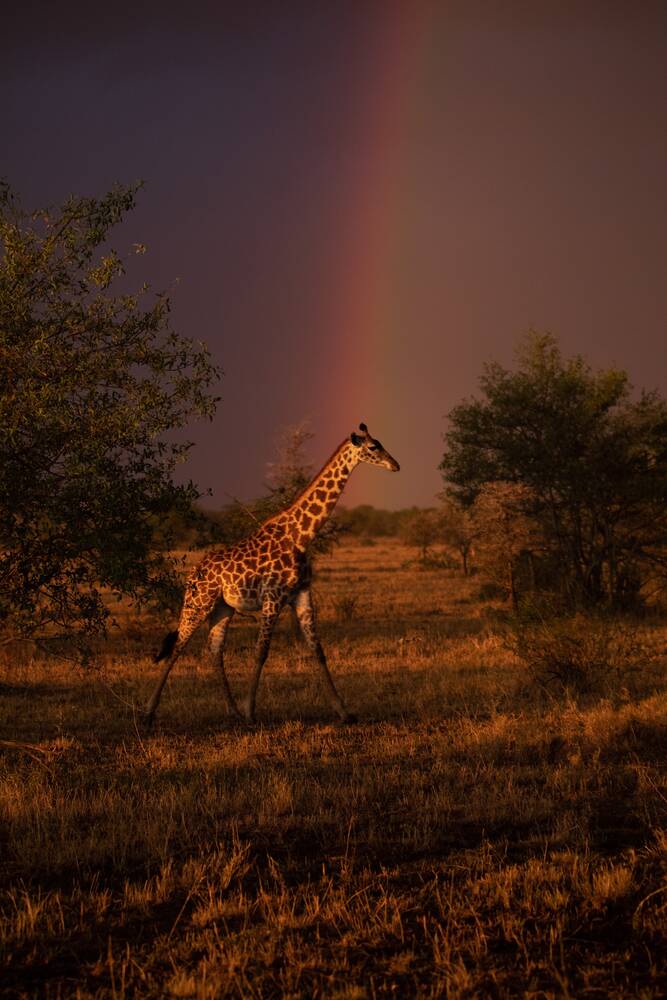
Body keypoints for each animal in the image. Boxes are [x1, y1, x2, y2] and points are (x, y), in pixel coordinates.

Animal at [144, 423, 400, 727]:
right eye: (373, 447)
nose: (395, 465)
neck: (301, 536)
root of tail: (193, 573)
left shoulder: (301, 594)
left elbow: (318, 650)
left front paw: (344, 712)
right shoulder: (273, 597)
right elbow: (261, 651)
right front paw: (251, 712)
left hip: (222, 608)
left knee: (214, 652)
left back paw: (231, 711)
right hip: (198, 602)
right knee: (177, 648)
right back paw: (148, 713)